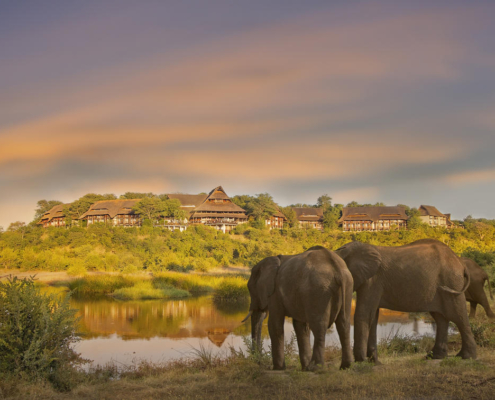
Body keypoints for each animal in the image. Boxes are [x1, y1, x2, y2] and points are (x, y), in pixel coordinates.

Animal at [336, 239, 478, 364]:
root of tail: (460, 262)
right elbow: (372, 316)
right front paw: (375, 363)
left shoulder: (372, 280)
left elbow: (363, 314)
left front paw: (362, 362)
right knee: (440, 318)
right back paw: (435, 357)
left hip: (451, 281)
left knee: (458, 316)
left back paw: (467, 356)